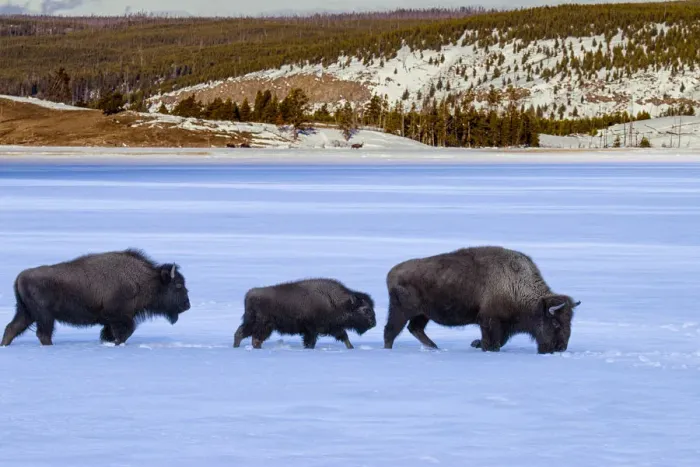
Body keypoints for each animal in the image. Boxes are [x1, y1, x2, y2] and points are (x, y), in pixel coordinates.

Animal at [1, 249, 191, 346]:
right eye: (178, 285)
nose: (187, 305)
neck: (144, 279)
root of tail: (20, 277)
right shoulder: (119, 317)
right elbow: (126, 331)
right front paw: (116, 343)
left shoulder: (112, 320)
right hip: (44, 316)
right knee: (43, 334)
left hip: (26, 313)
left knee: (12, 328)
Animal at [233, 278, 376, 349]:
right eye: (366, 309)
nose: (373, 323)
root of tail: (250, 295)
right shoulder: (312, 330)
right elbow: (310, 342)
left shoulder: (334, 328)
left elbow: (344, 337)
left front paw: (351, 348)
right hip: (263, 325)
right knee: (253, 337)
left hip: (256, 324)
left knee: (243, 334)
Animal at [383, 246, 581, 354]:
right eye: (555, 323)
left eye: (570, 322)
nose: (560, 347)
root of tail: (391, 272)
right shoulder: (490, 321)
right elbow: (492, 342)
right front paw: (481, 345)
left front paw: (475, 343)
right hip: (401, 311)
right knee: (391, 330)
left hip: (423, 314)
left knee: (415, 328)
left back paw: (435, 347)